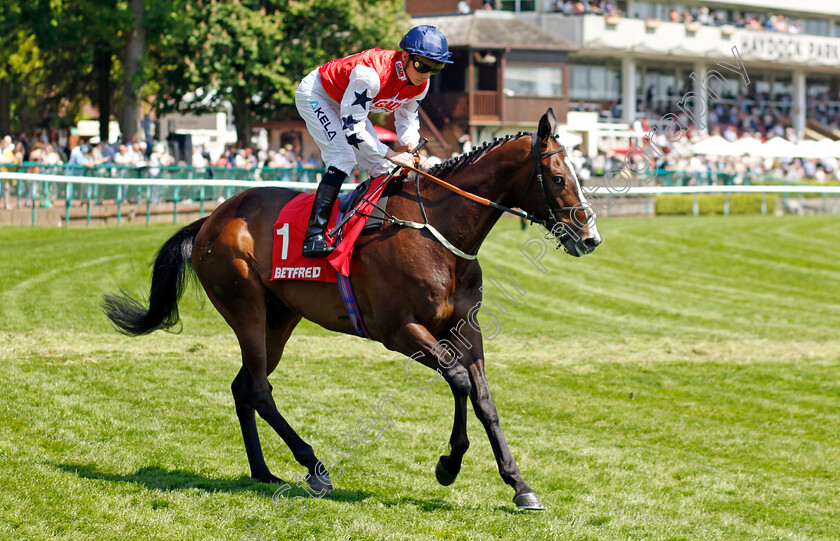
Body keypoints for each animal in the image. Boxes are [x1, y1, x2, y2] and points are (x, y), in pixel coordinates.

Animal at [105, 107, 600, 508]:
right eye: (558, 178)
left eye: (578, 175)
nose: (590, 236)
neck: (436, 233)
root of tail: (212, 218)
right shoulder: (400, 331)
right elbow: (458, 380)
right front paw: (449, 464)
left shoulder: (465, 329)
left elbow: (483, 401)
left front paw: (519, 486)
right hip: (243, 304)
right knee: (260, 389)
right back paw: (314, 467)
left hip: (280, 316)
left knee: (244, 385)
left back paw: (263, 471)